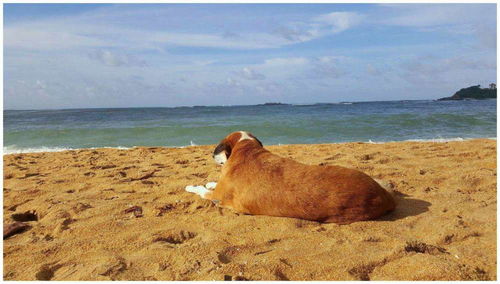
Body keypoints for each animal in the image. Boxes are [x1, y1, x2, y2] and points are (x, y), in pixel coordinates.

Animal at [186, 131, 396, 224]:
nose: (211, 155)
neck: (246, 150)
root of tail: (384, 196)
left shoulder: (217, 197)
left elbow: (201, 190)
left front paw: (192, 187)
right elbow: (212, 183)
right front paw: (210, 181)